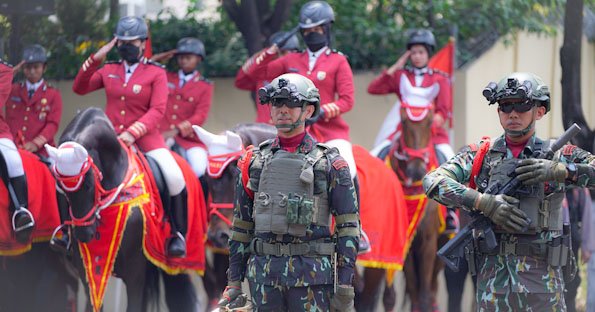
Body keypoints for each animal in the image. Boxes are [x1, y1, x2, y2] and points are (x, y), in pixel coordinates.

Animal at [384, 103, 450, 310]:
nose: (416, 170)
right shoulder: (406, 245)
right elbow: (414, 290)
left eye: (429, 122)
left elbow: (424, 294)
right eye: (404, 122)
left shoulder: (429, 242)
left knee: (432, 287)